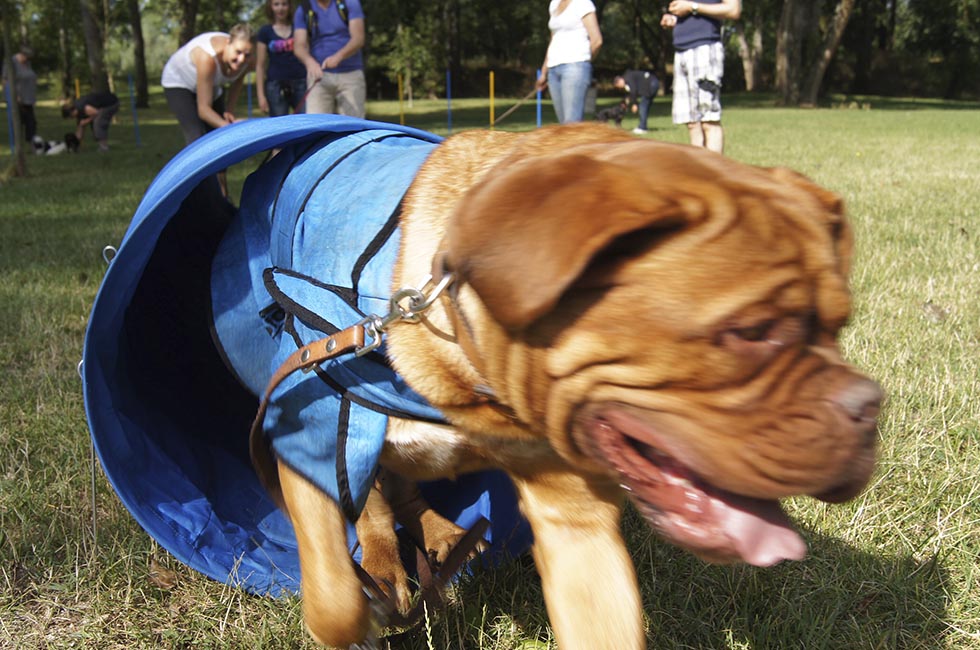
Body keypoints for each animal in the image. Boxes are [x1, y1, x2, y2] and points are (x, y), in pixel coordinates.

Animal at [262, 123, 880, 648]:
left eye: (841, 324)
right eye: (751, 331)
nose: (869, 407)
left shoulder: (576, 521)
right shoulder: (301, 444)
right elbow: (333, 595)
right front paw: (363, 611)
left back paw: (443, 535)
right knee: (372, 501)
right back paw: (386, 566)